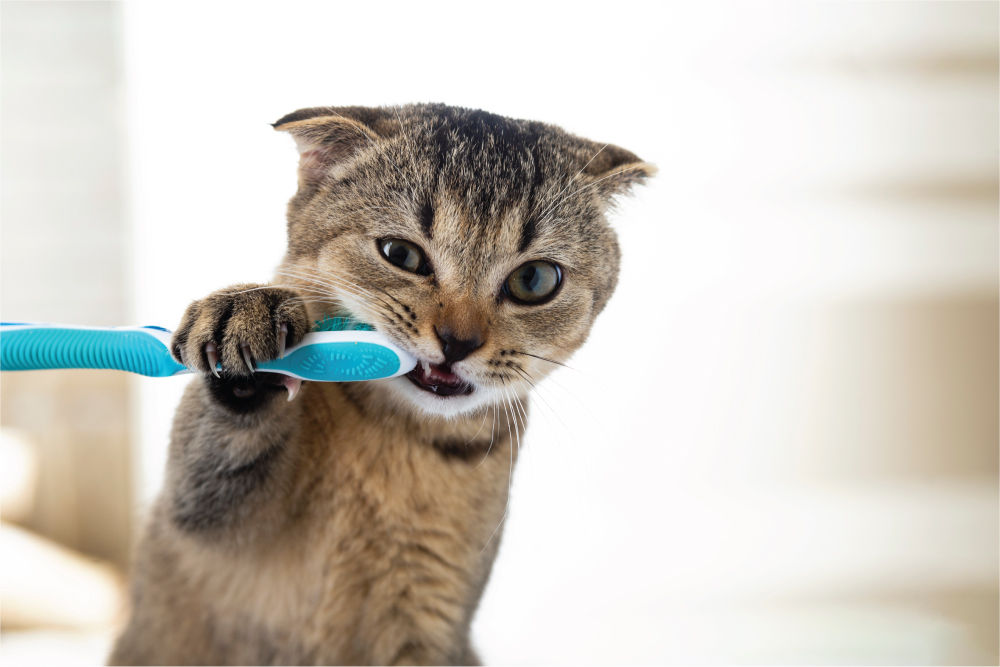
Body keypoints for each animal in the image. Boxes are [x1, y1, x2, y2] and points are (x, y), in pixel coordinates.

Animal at [111, 104, 656, 667]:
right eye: (400, 253)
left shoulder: (430, 617)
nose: (458, 341)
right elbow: (215, 462)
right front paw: (248, 314)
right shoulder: (199, 513)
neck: (398, 435)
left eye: (535, 281)